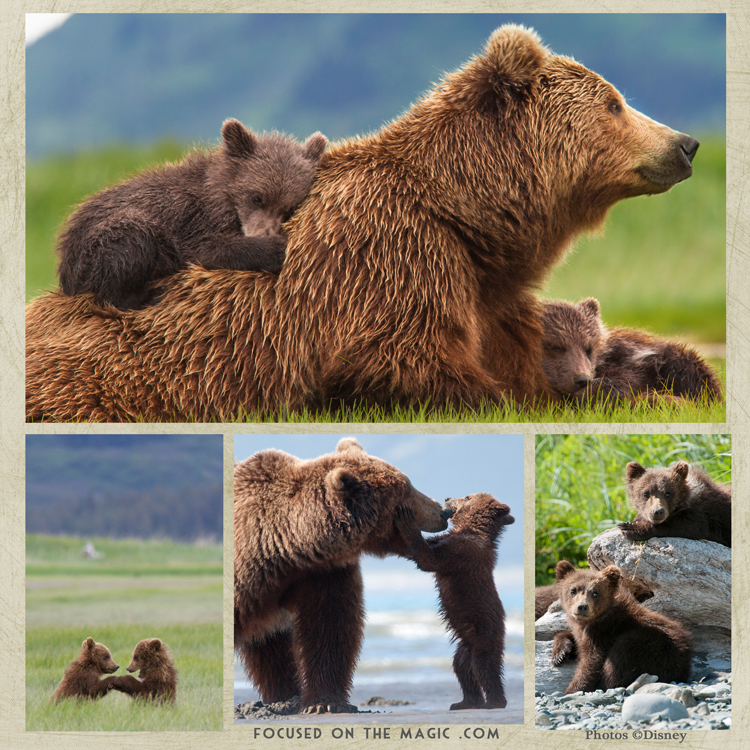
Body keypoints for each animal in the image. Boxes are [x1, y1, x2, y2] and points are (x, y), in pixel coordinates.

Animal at [55, 119, 327, 310]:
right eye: (257, 197)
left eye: (289, 208)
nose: (263, 233)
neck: (222, 195)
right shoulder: (193, 219)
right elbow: (206, 248)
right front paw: (276, 248)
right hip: (100, 243)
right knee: (130, 243)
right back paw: (149, 295)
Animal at [233, 438, 450, 714]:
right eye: (407, 489)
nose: (443, 511)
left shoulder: (323, 572)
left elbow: (331, 626)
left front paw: (325, 702)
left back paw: (285, 698)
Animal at [394, 493, 514, 710]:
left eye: (467, 496)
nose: (447, 497)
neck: (471, 529)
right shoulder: (449, 541)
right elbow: (424, 548)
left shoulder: (461, 552)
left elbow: (428, 558)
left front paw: (406, 519)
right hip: (465, 645)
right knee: (462, 667)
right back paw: (464, 702)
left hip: (485, 633)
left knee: (484, 666)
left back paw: (494, 702)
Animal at [551, 561, 693, 694]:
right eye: (573, 590)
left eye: (596, 593)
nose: (582, 607)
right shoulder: (585, 632)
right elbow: (574, 639)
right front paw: (559, 655)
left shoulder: (604, 633)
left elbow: (592, 662)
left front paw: (572, 690)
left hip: (651, 647)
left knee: (620, 659)